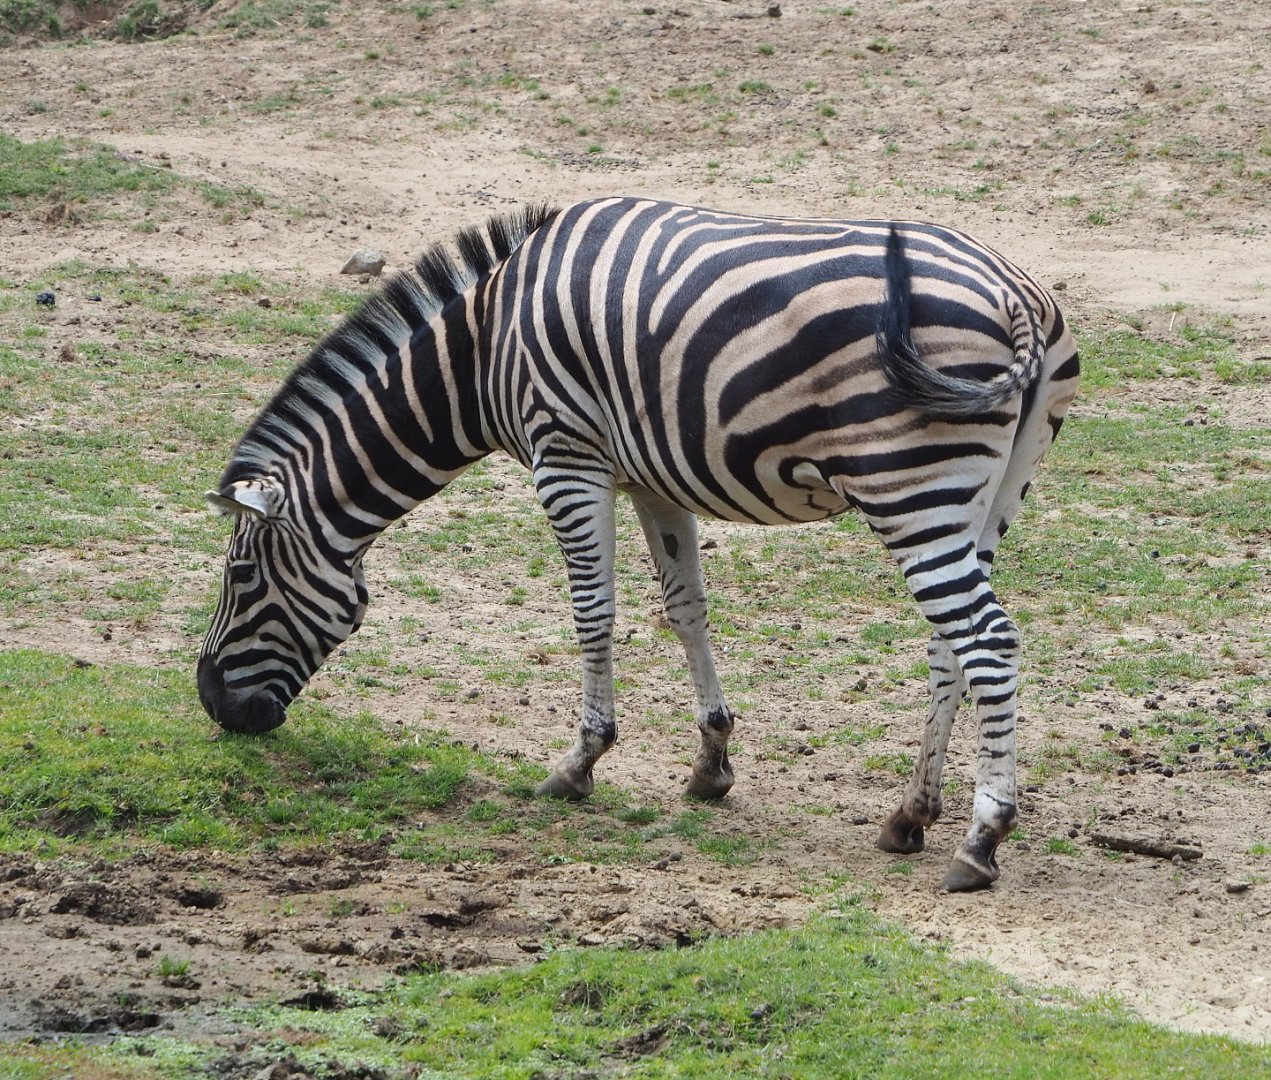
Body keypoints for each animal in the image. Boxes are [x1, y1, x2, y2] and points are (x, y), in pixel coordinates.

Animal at [199, 197, 1079, 892]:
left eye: (241, 576)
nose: (214, 707)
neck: (480, 349)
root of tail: (1018, 297)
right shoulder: (654, 476)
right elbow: (684, 608)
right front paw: (710, 763)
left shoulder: (565, 456)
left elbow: (592, 610)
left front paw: (580, 761)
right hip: (987, 494)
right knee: (949, 644)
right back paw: (910, 814)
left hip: (908, 484)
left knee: (987, 640)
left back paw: (980, 839)